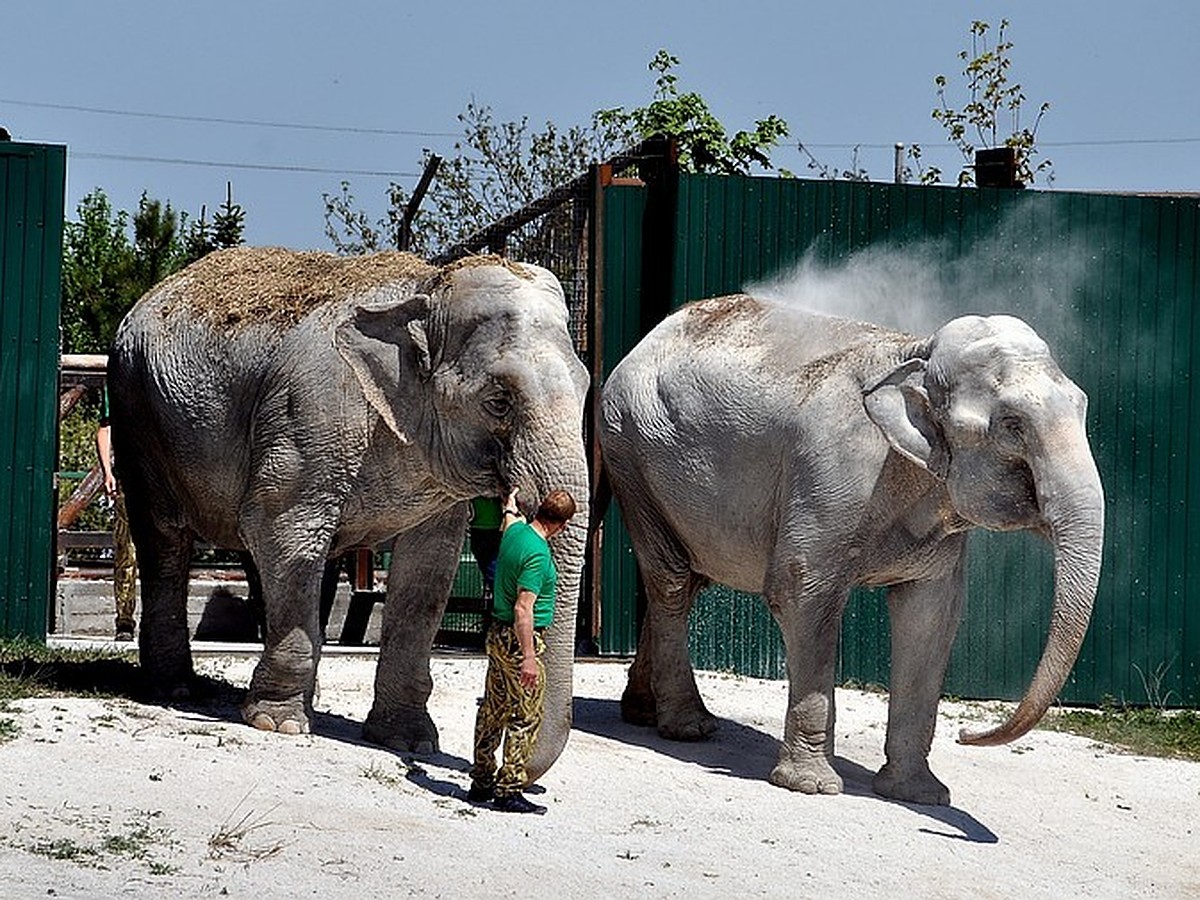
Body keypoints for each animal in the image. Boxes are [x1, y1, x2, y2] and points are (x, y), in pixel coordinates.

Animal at [600, 296, 1104, 811]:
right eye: (1011, 425)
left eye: (1083, 406)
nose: (966, 734)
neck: (916, 351)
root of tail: (649, 337)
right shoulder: (830, 475)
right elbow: (800, 593)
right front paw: (810, 786)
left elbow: (931, 615)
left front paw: (919, 796)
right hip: (629, 450)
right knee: (673, 581)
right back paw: (689, 728)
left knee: (687, 581)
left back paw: (644, 712)